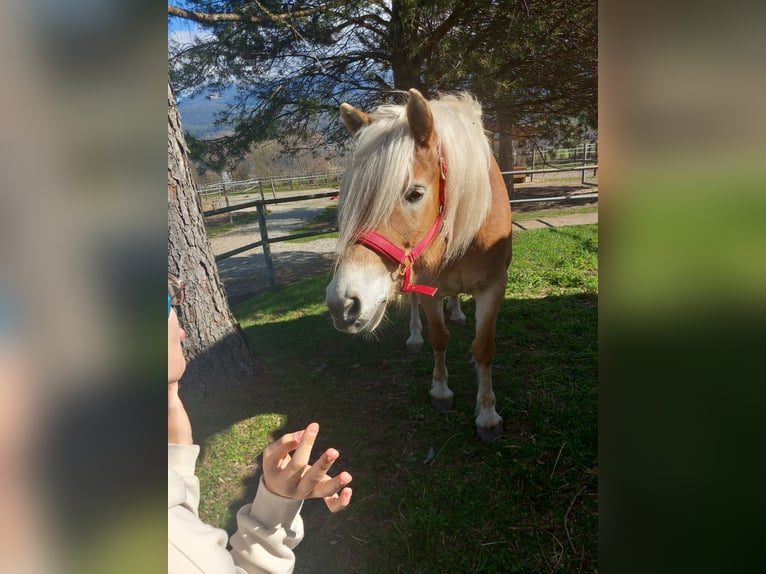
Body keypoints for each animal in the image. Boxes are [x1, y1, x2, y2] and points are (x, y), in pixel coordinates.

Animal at [326, 88, 512, 444]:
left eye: (415, 193)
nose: (343, 304)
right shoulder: (429, 286)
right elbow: (439, 338)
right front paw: (441, 390)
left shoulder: (494, 286)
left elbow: (484, 348)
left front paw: (487, 414)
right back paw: (415, 335)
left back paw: (458, 312)